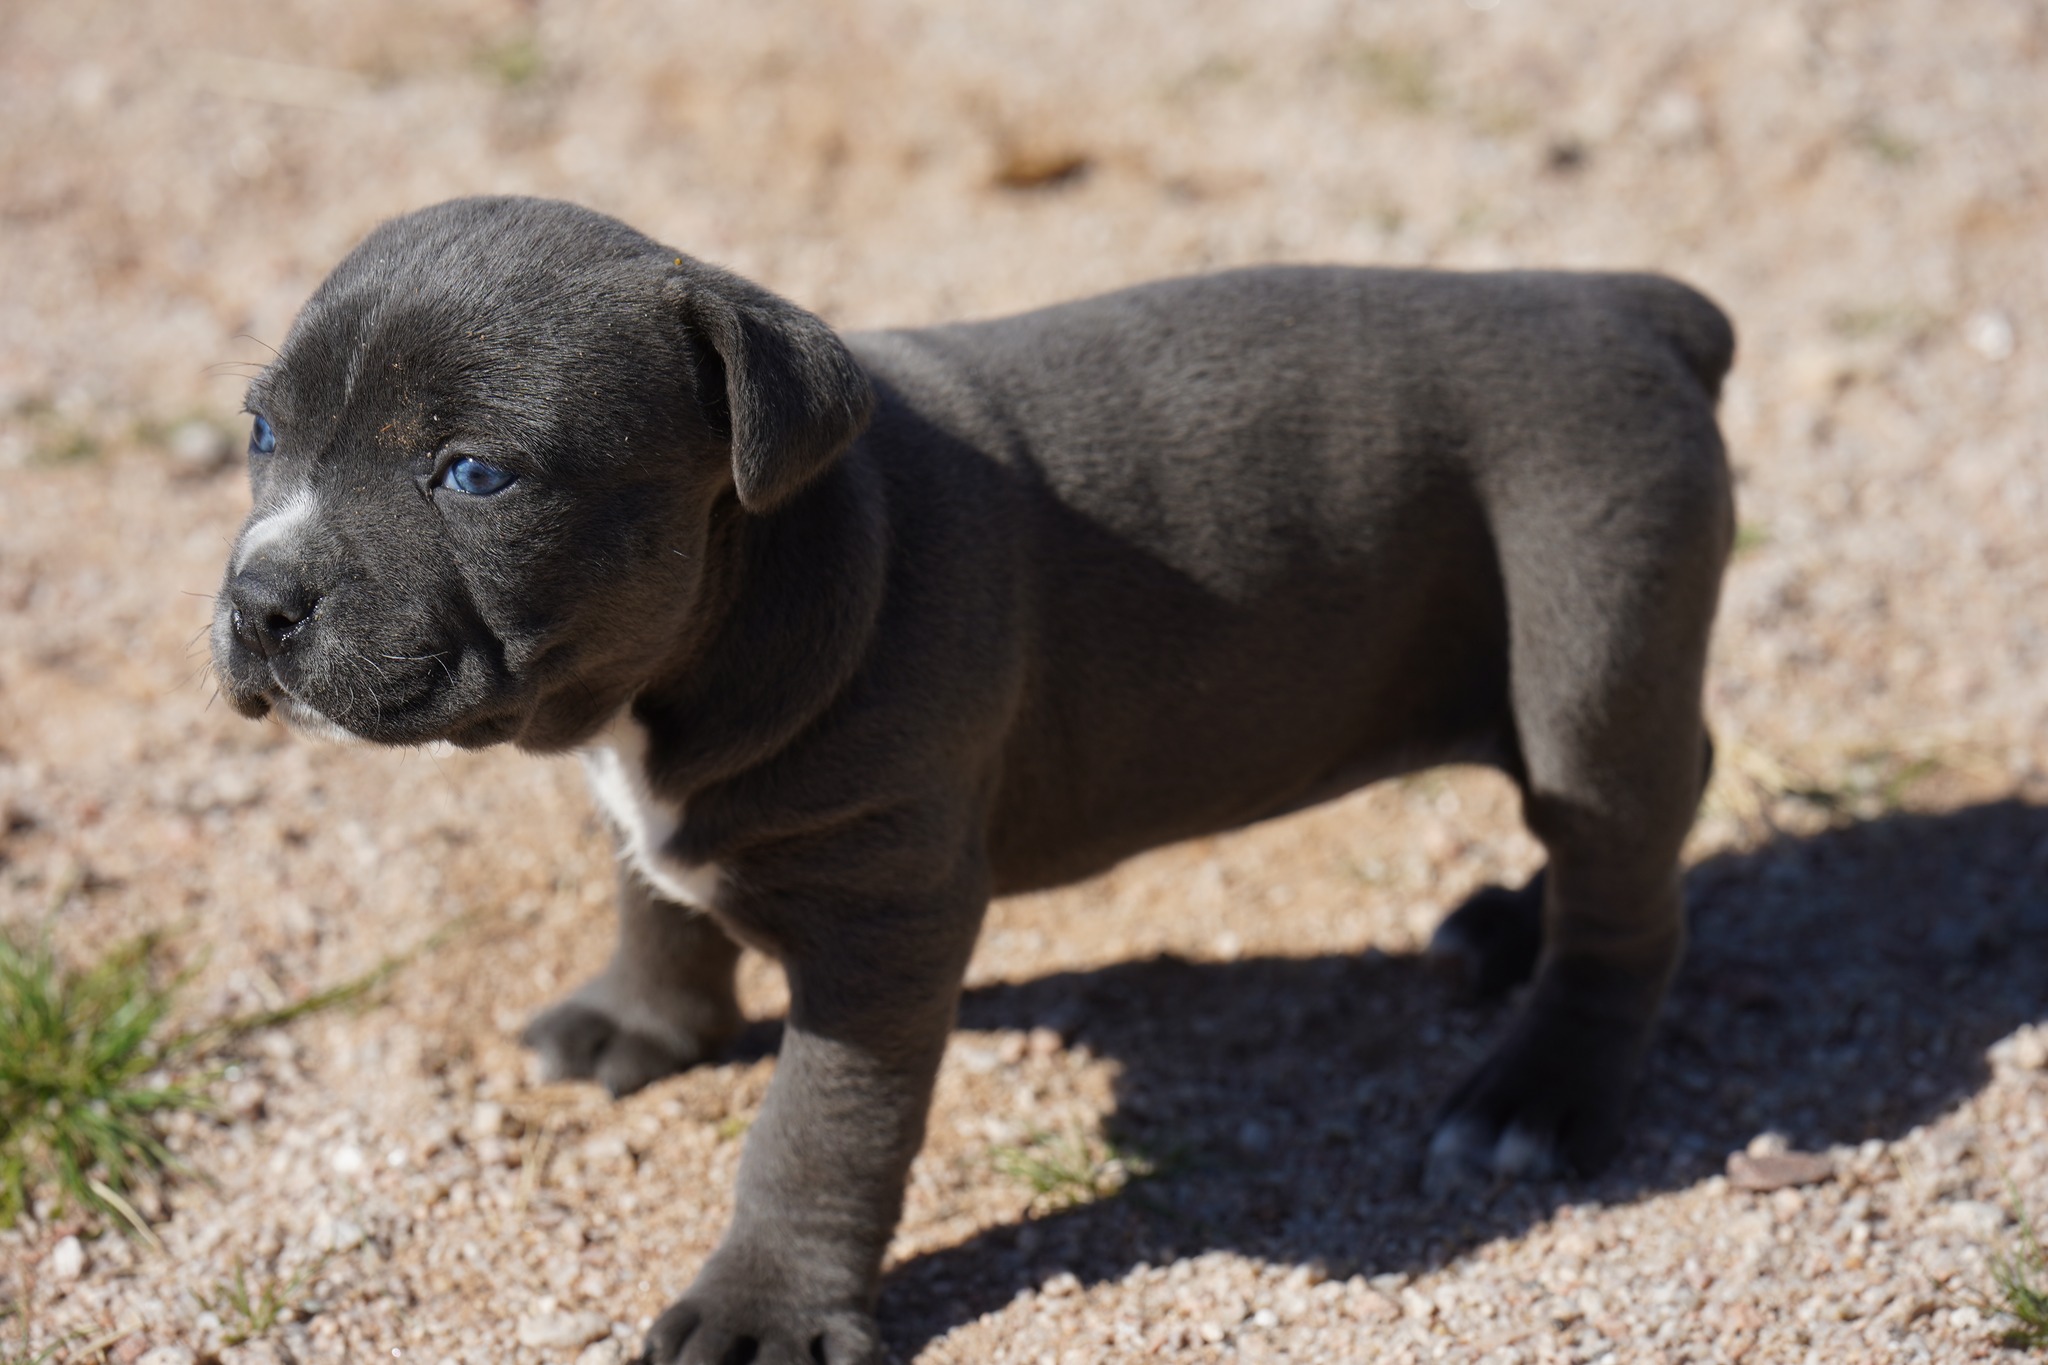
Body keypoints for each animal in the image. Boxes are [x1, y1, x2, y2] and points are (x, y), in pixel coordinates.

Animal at [216, 200, 1728, 1365]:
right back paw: (1508, 924)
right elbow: (657, 896)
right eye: (261, 434)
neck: (745, 592)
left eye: (474, 473)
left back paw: (1537, 1093)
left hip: (1590, 654)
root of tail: (1624, 304)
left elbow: (819, 1132)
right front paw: (640, 1021)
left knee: (1627, 894)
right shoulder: (642, 785)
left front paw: (765, 1304)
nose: (257, 602)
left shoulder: (886, 924)